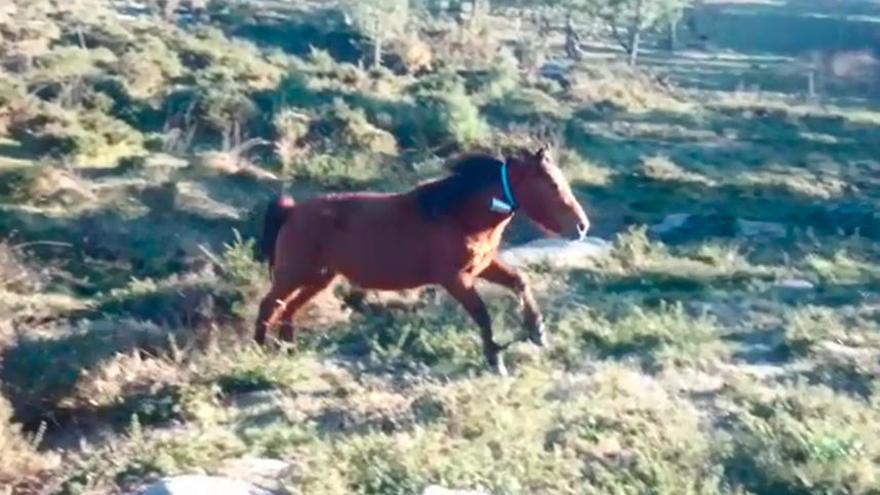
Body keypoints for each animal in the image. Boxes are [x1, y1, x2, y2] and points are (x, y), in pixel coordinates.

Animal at [254, 147, 592, 376]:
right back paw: (259, 354)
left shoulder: (482, 267)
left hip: (319, 278)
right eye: (552, 184)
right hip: (294, 274)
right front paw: (495, 359)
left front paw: (537, 331)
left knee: (288, 310)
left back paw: (289, 352)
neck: (457, 214)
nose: (582, 226)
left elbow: (519, 281)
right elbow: (482, 314)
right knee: (269, 306)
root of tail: (292, 211)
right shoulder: (455, 278)